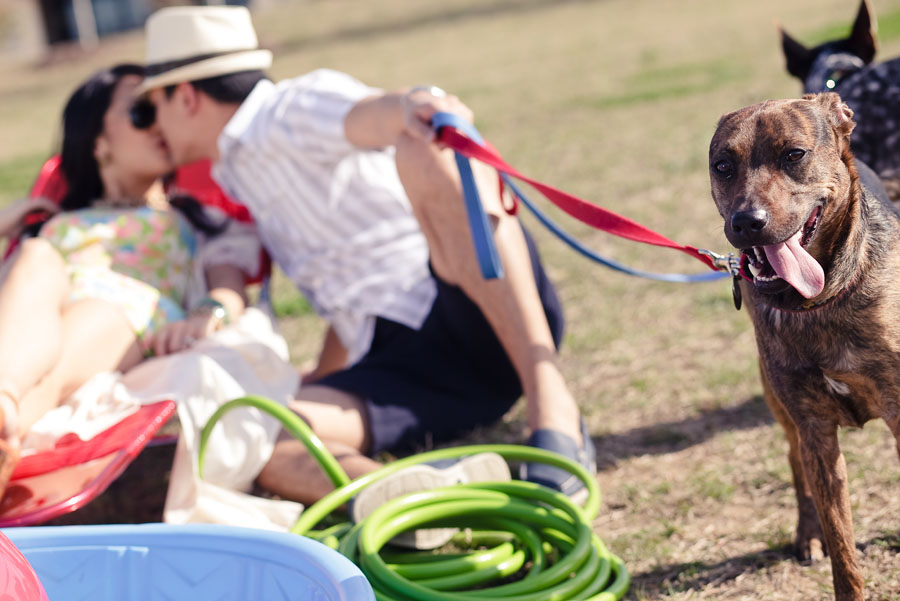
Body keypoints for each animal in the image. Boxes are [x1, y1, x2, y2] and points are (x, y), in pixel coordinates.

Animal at [712, 92, 900, 600]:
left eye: (794, 154)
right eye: (722, 166)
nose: (747, 222)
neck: (821, 299)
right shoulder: (815, 428)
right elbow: (841, 543)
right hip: (780, 405)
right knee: (795, 465)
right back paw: (807, 535)